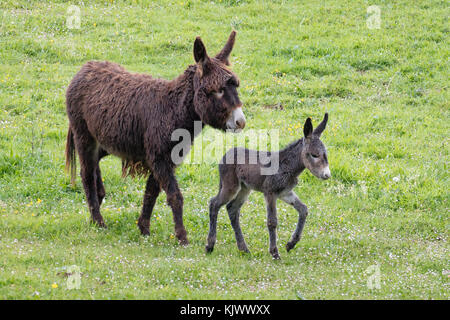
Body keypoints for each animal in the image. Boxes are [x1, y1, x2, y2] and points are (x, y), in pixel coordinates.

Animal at [207, 114, 330, 258]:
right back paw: (210, 246)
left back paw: (243, 248)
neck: (287, 165)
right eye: (314, 155)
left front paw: (291, 244)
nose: (327, 175)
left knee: (232, 209)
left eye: (326, 155)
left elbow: (303, 210)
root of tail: (225, 155)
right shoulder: (270, 192)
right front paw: (274, 252)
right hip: (230, 186)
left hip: (244, 189)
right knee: (214, 204)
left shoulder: (285, 193)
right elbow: (272, 221)